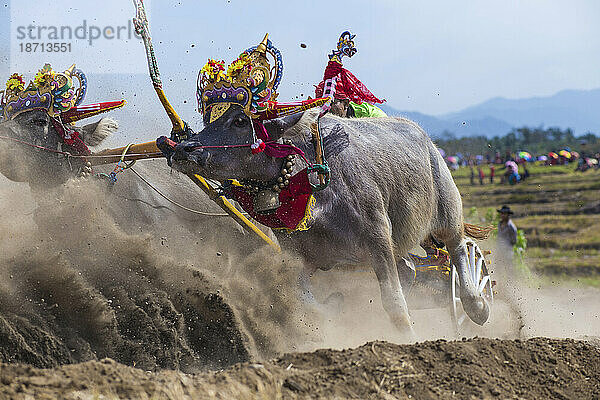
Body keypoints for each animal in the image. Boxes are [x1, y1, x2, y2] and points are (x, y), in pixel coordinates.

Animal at [170, 105, 492, 334]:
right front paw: (334, 305)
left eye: (238, 120)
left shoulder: (378, 241)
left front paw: (409, 337)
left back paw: (477, 305)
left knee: (460, 252)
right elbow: (306, 302)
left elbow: (395, 303)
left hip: (448, 216)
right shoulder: (303, 257)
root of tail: (428, 142)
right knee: (412, 268)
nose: (182, 148)